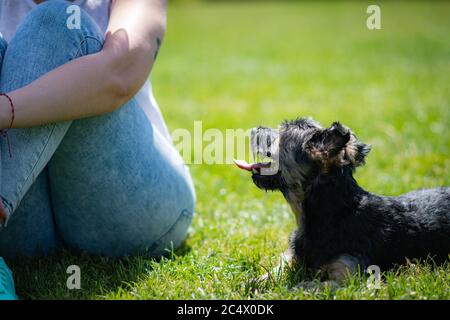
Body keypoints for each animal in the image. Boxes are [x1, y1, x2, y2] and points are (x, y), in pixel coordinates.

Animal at [234, 118, 448, 282]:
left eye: (281, 134)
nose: (254, 129)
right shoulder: (291, 259)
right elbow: (268, 275)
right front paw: (253, 283)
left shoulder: (346, 274)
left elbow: (307, 286)